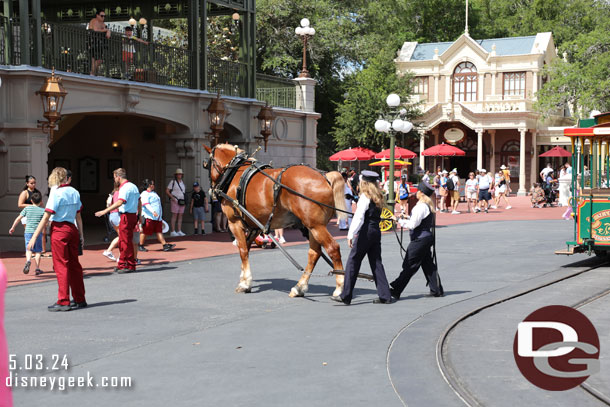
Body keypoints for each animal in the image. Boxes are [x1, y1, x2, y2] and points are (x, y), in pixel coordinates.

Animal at [204, 145, 346, 298]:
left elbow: (243, 250)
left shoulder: (234, 222)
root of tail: (325, 178)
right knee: (314, 253)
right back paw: (299, 287)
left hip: (316, 226)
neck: (236, 172)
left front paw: (245, 284)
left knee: (333, 248)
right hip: (312, 227)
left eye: (206, 164)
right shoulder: (254, 226)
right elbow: (246, 248)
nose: (212, 191)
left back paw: (339, 289)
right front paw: (244, 278)